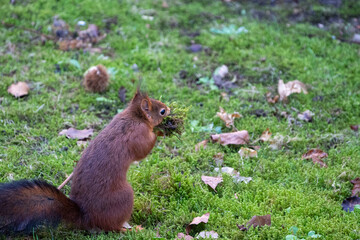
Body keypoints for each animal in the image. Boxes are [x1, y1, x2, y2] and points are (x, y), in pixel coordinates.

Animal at [0, 90, 170, 234]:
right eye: (161, 111)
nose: (169, 109)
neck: (134, 116)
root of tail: (86, 218)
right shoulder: (137, 134)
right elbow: (143, 151)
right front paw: (160, 132)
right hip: (124, 197)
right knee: (112, 227)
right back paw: (131, 229)